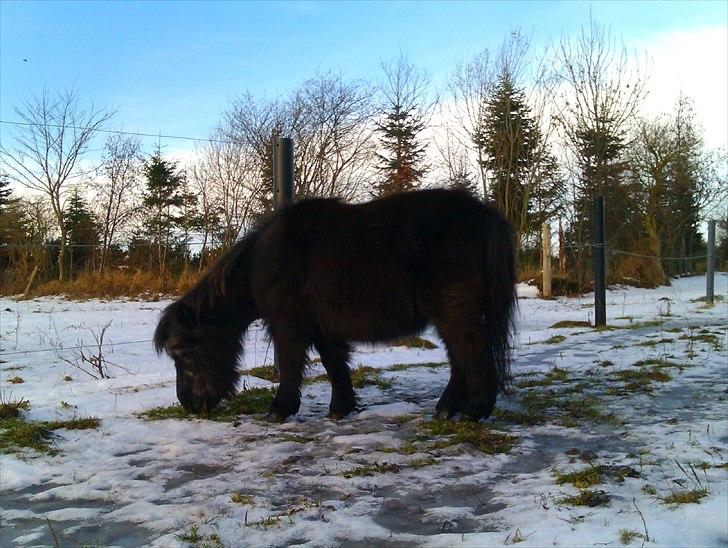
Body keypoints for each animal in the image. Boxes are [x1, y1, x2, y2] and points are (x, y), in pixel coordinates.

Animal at [154, 188, 517, 421]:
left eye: (184, 352)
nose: (189, 404)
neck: (264, 262)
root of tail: (483, 215)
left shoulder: (288, 324)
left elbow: (291, 363)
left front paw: (280, 409)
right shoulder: (322, 328)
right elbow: (334, 365)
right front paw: (341, 408)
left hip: (454, 312)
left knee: (471, 352)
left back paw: (475, 411)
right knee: (461, 358)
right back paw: (447, 409)